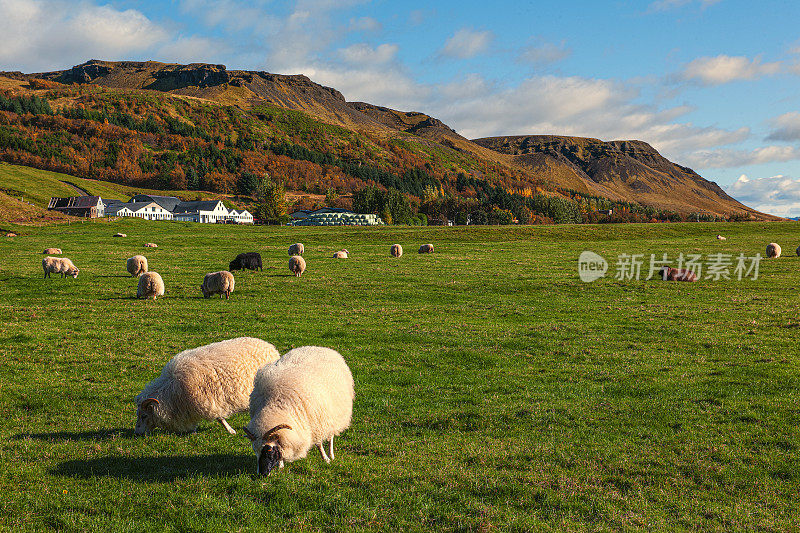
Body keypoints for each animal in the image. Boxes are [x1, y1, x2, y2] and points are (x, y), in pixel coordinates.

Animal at [134, 338, 278, 434]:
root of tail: (269, 346)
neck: (171, 390)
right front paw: (193, 430)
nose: (137, 433)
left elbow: (219, 418)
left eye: (144, 416)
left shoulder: (209, 400)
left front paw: (230, 430)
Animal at [242, 348, 354, 476]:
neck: (276, 405)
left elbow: (319, 444)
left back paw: (331, 455)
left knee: (331, 436)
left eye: (269, 449)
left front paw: (325, 459)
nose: (262, 474)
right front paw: (281, 465)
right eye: (255, 450)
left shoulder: (316, 423)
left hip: (332, 415)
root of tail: (322, 348)